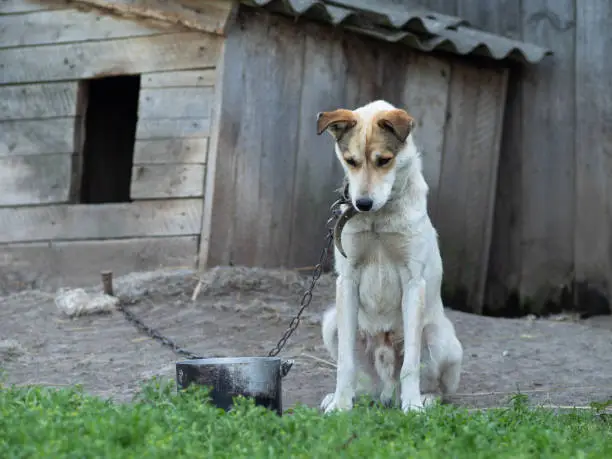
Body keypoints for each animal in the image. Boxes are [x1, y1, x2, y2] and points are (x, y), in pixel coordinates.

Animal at [318, 98, 462, 414]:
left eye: (384, 160)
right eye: (350, 161)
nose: (362, 203)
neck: (378, 219)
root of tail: (387, 391)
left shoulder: (413, 282)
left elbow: (411, 365)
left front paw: (413, 407)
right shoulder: (347, 280)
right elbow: (345, 363)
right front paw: (340, 405)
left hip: (440, 338)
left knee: (439, 387)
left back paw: (424, 398)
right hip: (332, 323)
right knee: (364, 382)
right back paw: (345, 397)